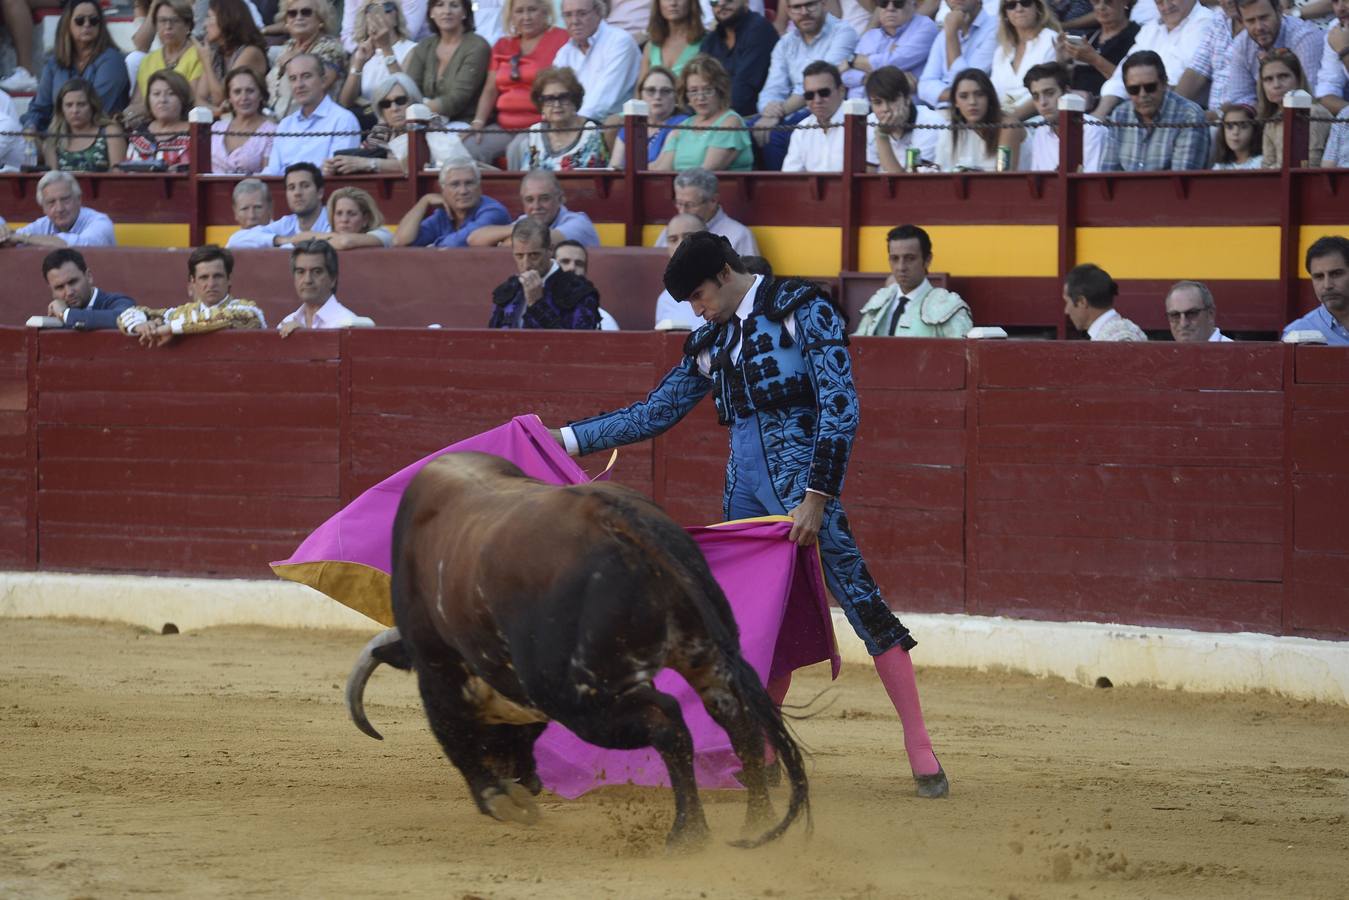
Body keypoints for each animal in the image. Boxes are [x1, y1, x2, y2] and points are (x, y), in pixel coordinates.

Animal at [348, 453, 809, 847]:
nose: (530, 783)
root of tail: (616, 516)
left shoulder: (438, 669)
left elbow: (455, 735)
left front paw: (499, 800)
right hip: (704, 655)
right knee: (738, 724)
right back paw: (755, 823)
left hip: (578, 697)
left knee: (670, 721)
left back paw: (688, 834)